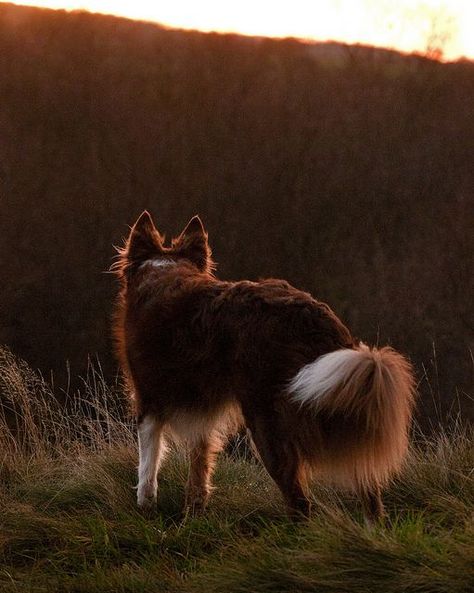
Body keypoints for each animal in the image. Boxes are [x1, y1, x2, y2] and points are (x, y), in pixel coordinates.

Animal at [113, 212, 412, 520]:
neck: (162, 270)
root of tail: (312, 317)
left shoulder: (148, 400)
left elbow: (148, 463)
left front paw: (145, 506)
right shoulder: (203, 411)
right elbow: (199, 464)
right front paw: (194, 512)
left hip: (267, 422)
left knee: (301, 502)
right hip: (340, 405)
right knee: (369, 490)